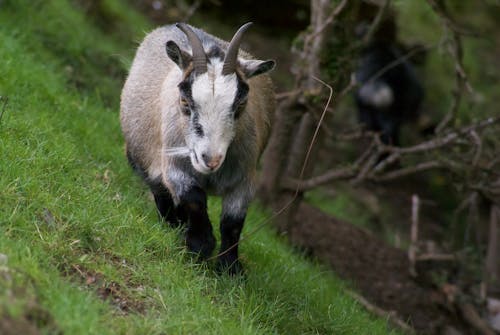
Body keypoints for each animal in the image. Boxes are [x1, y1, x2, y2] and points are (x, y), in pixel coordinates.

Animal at [120, 21, 276, 276]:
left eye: (241, 104)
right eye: (185, 101)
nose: (210, 159)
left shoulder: (244, 181)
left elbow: (232, 223)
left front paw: (230, 268)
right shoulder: (174, 168)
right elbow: (193, 198)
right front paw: (200, 246)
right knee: (160, 192)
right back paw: (173, 226)